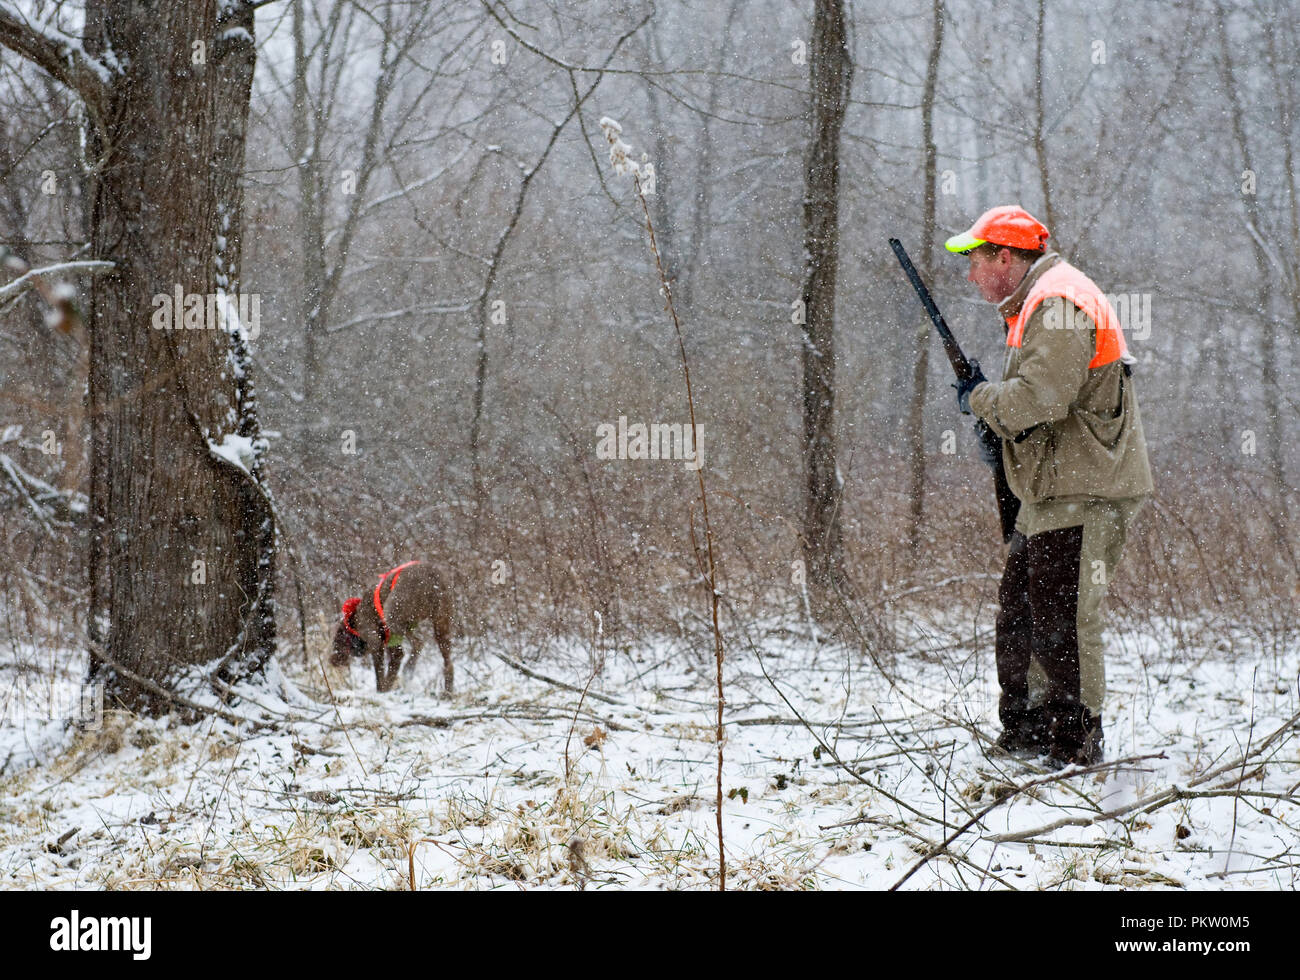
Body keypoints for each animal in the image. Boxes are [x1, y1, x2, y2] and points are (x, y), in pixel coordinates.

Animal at [332, 561, 454, 691]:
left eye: (337, 643)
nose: (332, 661)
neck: (354, 620)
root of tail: (432, 577)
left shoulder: (376, 643)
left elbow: (381, 676)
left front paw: (384, 689)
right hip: (440, 623)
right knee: (443, 660)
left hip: (393, 613)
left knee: (410, 647)